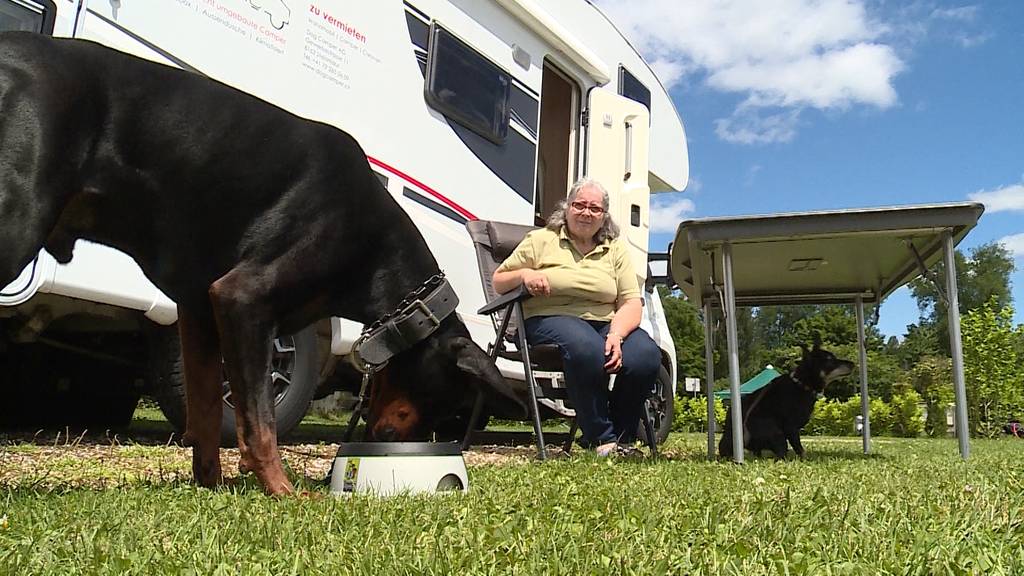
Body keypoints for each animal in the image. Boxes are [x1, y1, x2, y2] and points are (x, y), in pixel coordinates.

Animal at [0, 32, 524, 494]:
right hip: (19, 222)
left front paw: (210, 486)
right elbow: (261, 420)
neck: (374, 252)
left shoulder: (199, 311)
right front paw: (283, 490)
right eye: (444, 398)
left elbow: (208, 408)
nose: (389, 440)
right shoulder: (242, 299)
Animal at [720, 342, 856, 459]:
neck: (802, 385)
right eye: (829, 360)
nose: (852, 363)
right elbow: (800, 449)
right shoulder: (791, 428)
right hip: (777, 433)